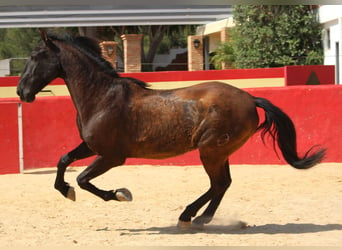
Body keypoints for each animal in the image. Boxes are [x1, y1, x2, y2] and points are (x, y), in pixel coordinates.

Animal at [16, 29, 326, 229]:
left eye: (35, 55)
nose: (21, 92)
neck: (102, 97)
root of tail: (251, 98)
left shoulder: (113, 156)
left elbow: (83, 179)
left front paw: (120, 193)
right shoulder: (91, 146)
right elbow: (62, 161)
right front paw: (66, 190)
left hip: (210, 151)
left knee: (219, 184)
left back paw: (190, 217)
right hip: (218, 152)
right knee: (223, 184)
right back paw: (198, 218)